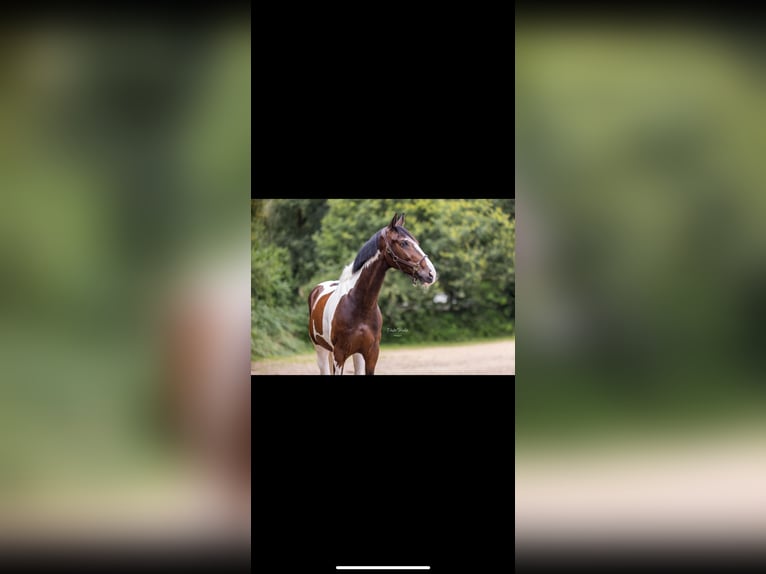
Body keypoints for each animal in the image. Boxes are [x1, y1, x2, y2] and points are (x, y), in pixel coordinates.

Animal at [308, 212, 437, 375]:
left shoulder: (371, 354)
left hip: (356, 355)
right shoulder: (339, 354)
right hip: (321, 349)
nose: (431, 274)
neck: (360, 305)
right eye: (404, 243)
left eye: (416, 242)